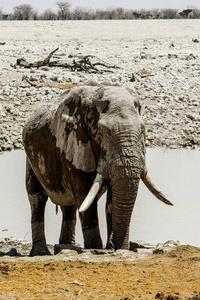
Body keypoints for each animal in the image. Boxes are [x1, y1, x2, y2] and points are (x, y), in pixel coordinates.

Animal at [22, 84, 173, 255]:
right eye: (101, 134)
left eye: (143, 131)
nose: (119, 248)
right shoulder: (76, 144)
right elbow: (85, 197)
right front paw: (95, 249)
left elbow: (112, 198)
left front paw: (111, 248)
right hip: (30, 159)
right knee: (37, 198)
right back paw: (41, 252)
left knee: (70, 207)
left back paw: (66, 246)